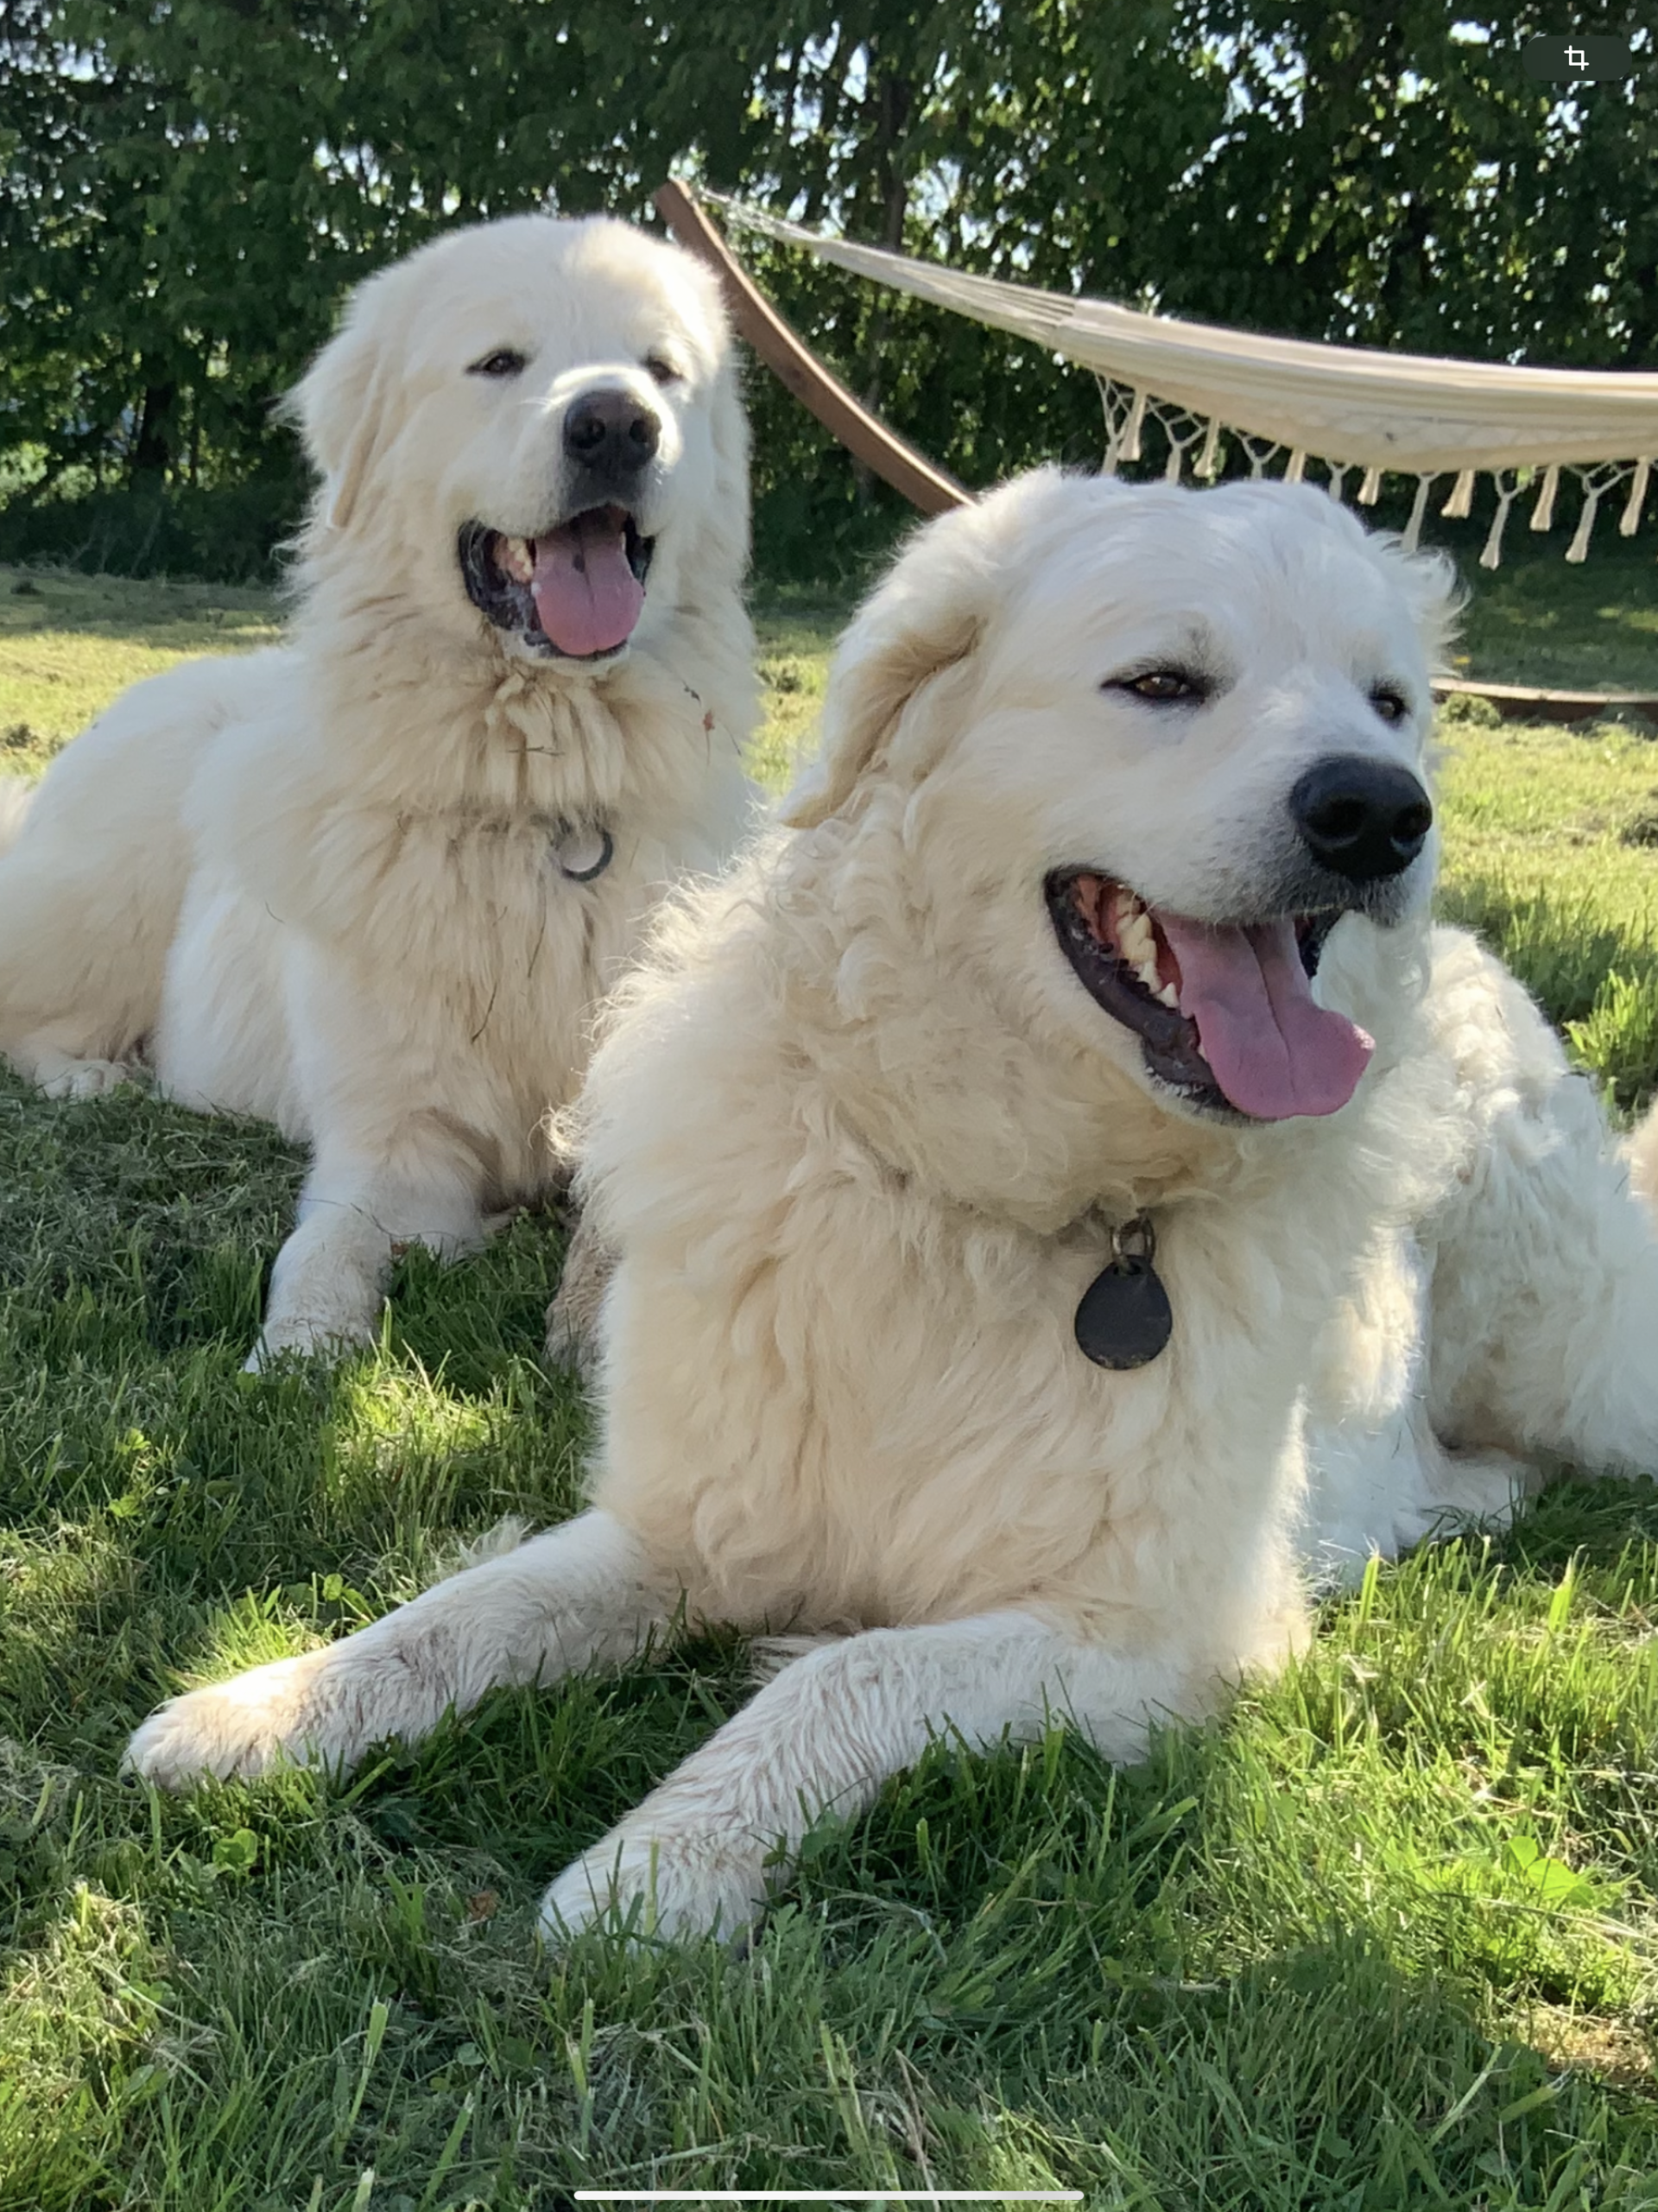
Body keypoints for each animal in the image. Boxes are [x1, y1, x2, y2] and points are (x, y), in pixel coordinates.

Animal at [0, 213, 757, 1362]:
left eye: (663, 371)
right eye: (499, 362)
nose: (619, 425)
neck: (543, 801)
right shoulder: (392, 1153)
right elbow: (327, 1253)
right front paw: (296, 1354)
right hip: (105, 892)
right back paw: (93, 1075)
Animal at [125, 469, 1658, 1944]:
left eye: (1390, 702)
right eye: (1163, 682)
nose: (1383, 811)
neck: (988, 1197)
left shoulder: (1136, 1640)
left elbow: (847, 1675)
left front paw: (652, 1870)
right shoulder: (680, 1523)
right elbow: (460, 1615)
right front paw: (260, 1712)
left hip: (1566, 1360)